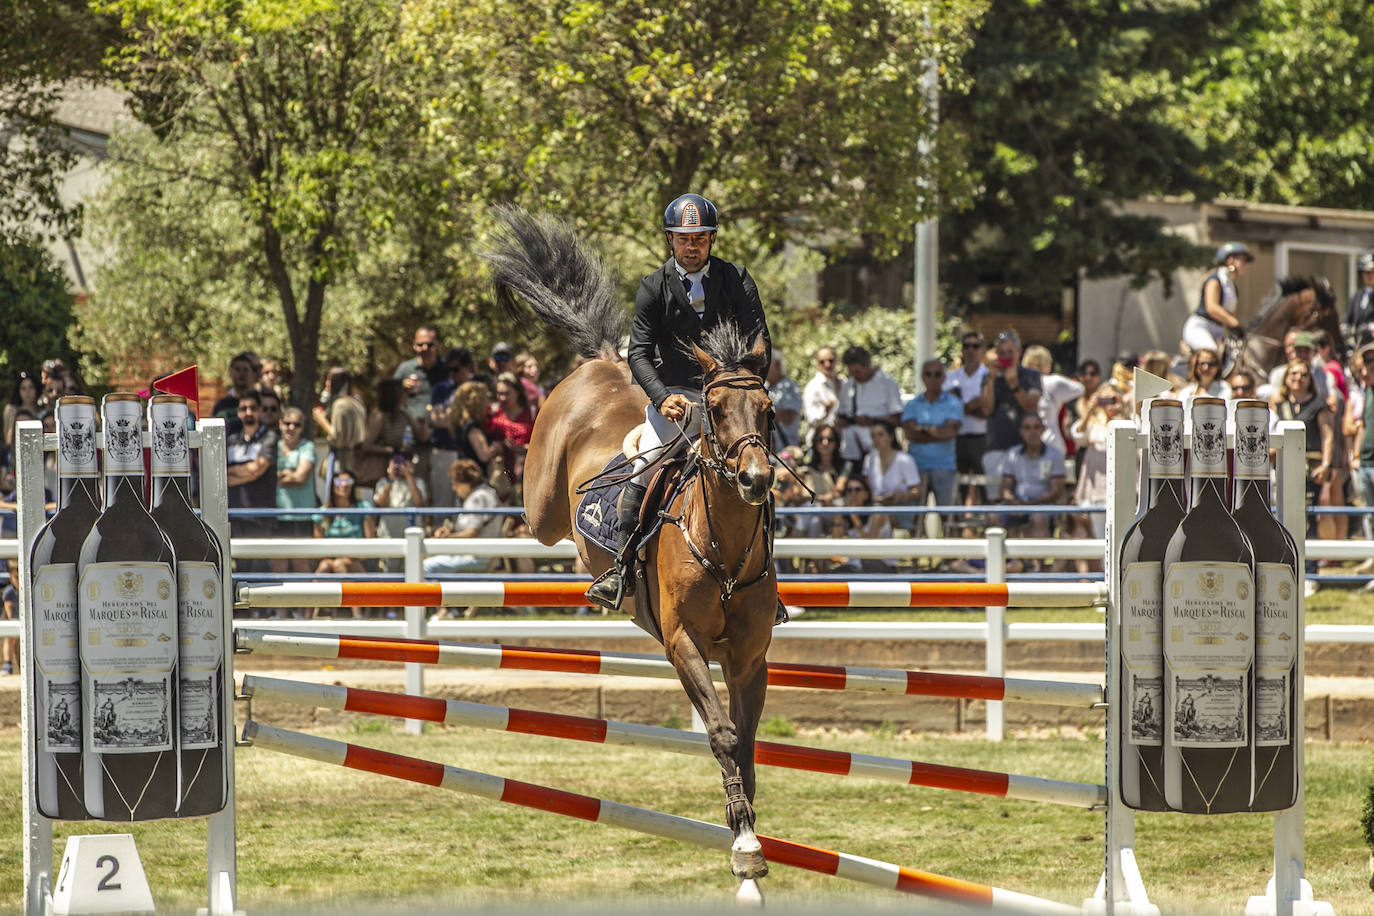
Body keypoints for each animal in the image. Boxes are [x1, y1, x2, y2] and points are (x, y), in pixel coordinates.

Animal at [489, 210, 780, 889]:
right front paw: (743, 836)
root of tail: (602, 360)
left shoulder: (749, 655)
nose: (755, 479)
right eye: (715, 408)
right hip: (542, 505)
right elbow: (723, 733)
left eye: (768, 408)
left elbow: (747, 741)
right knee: (541, 520)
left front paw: (749, 835)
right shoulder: (682, 642)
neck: (724, 547)